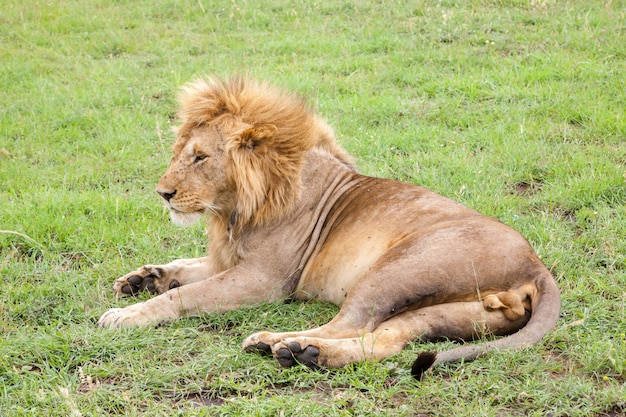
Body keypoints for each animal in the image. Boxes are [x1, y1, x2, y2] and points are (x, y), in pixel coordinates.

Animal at [98, 75, 560, 376]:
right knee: (385, 340)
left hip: (396, 269)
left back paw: (281, 343)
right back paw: (306, 353)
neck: (234, 210)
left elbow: (185, 296)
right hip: (448, 312)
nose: (163, 193)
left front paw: (126, 315)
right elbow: (183, 266)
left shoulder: (266, 279)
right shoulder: (227, 259)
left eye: (199, 157)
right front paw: (141, 278)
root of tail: (537, 266)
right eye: (181, 152)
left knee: (350, 323)